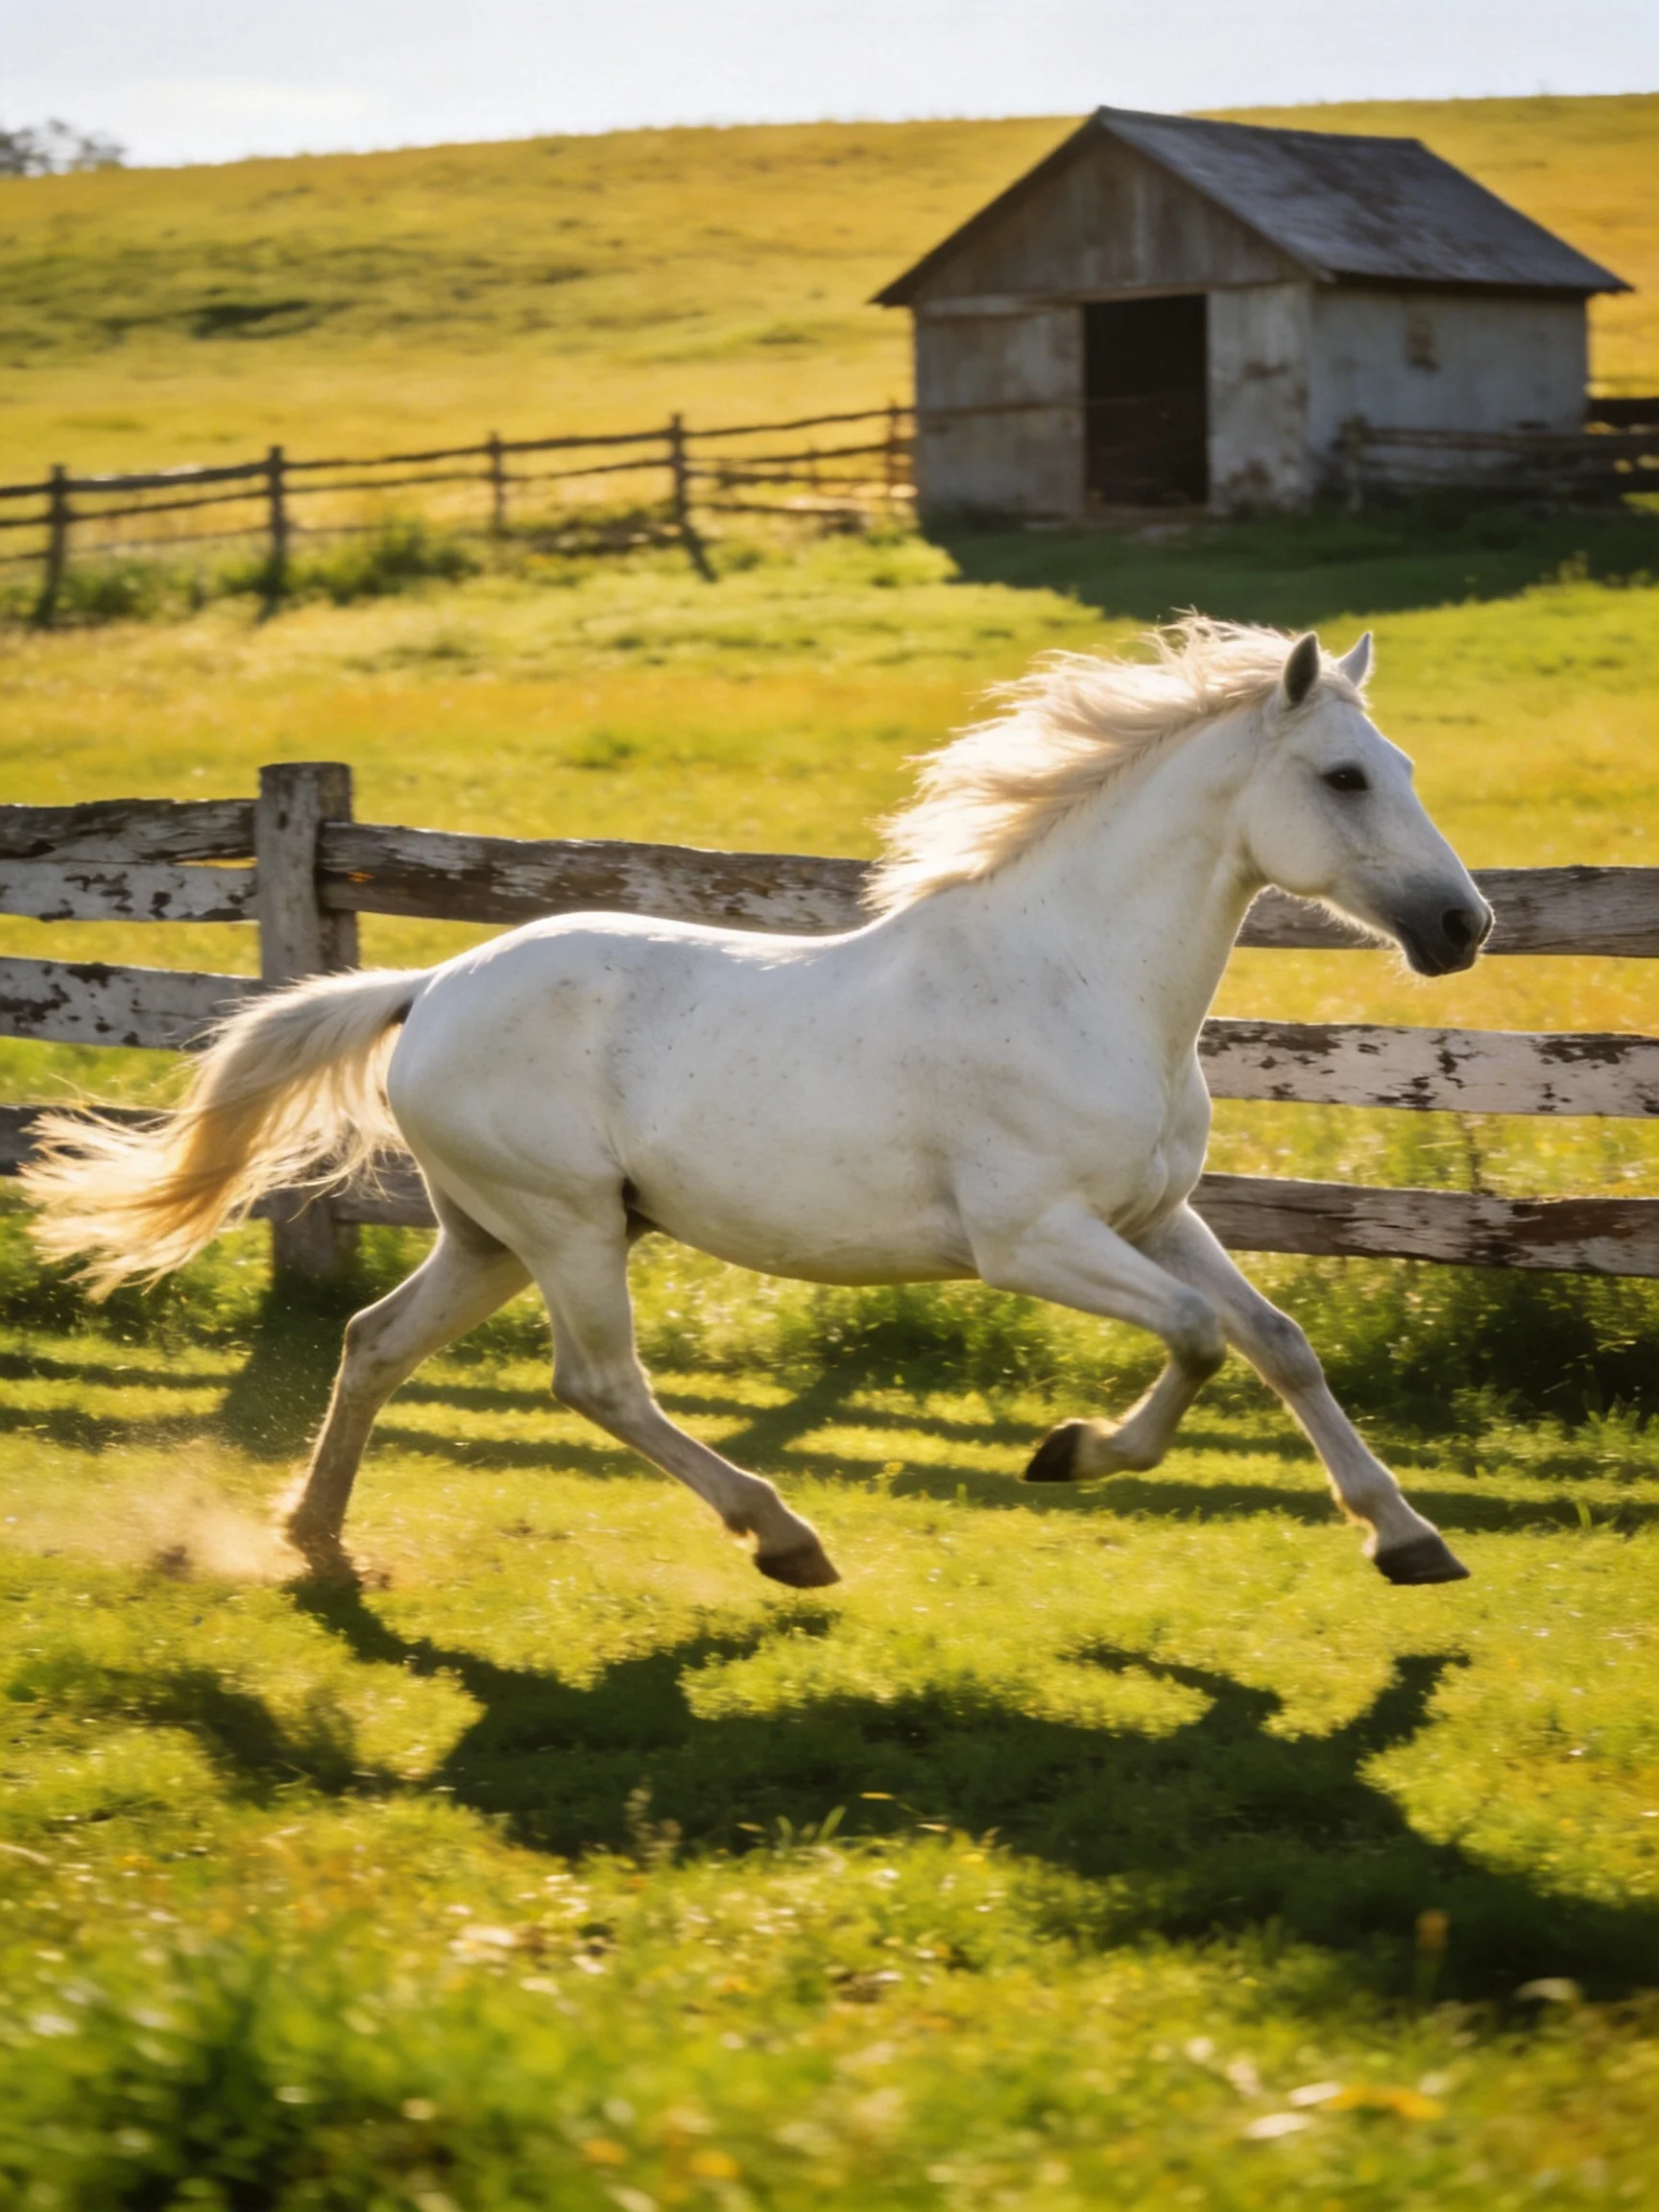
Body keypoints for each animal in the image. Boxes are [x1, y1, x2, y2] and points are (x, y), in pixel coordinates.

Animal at [23, 619, 1492, 1591]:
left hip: (489, 1235)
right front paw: (1067, 1453)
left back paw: (315, 1541)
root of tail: (431, 984)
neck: (1071, 980)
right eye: (1345, 777)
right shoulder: (1031, 1241)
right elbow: (1196, 1337)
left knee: (374, 1343)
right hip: (566, 1229)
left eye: (1409, 766)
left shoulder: (1156, 1214)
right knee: (598, 1383)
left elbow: (1278, 1339)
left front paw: (1409, 1538)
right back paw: (785, 1538)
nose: (1463, 926)